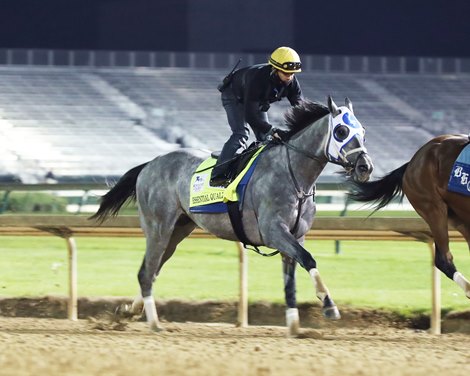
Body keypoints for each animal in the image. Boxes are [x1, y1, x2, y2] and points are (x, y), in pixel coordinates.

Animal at [90, 96, 372, 334]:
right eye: (341, 131)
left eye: (363, 133)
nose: (365, 167)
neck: (292, 171)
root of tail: (148, 164)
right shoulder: (274, 231)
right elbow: (309, 259)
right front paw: (329, 305)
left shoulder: (295, 236)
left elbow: (291, 279)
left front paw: (294, 326)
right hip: (158, 226)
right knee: (146, 272)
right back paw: (155, 323)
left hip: (178, 229)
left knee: (151, 269)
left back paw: (130, 310)